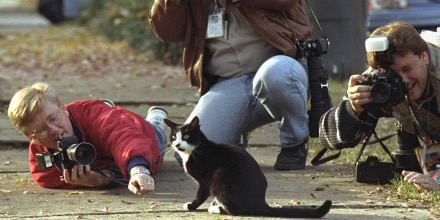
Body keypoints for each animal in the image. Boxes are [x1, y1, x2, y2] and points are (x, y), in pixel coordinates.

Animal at [164, 117, 330, 218]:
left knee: (236, 210)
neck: (195, 150)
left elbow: (200, 195)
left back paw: (215, 208)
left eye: (186, 136)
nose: (177, 144)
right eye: (173, 137)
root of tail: (261, 202)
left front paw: (191, 205)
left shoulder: (206, 180)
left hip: (221, 176)